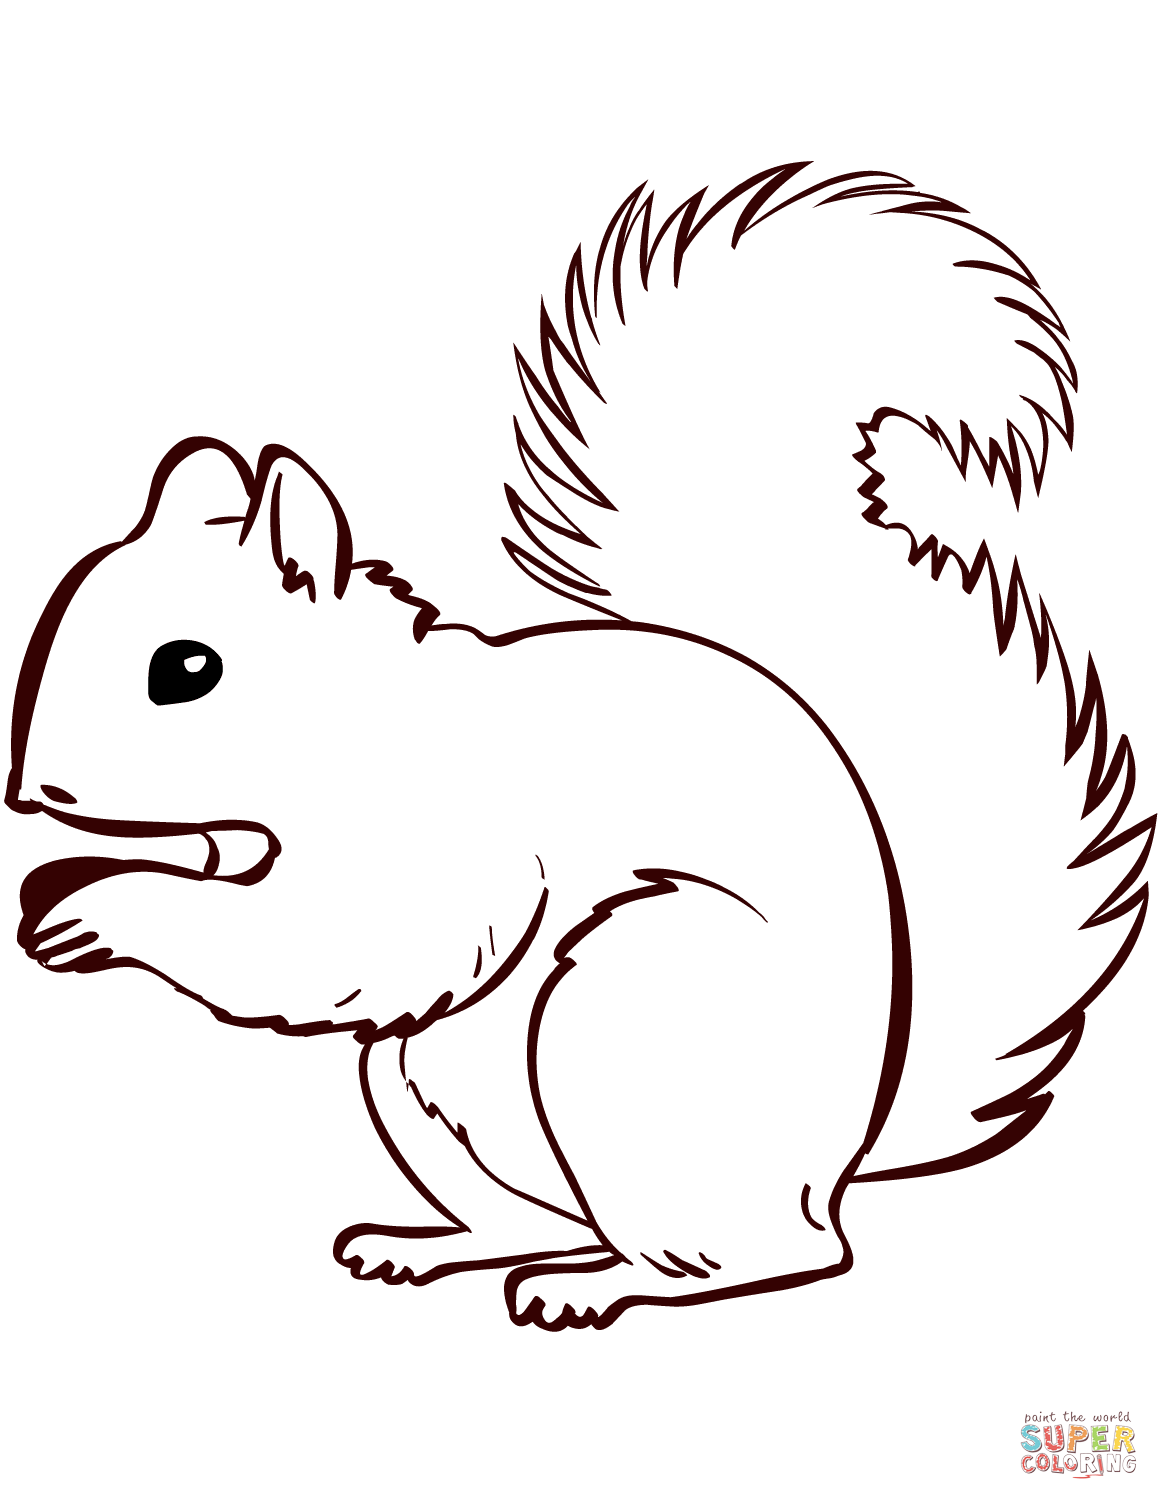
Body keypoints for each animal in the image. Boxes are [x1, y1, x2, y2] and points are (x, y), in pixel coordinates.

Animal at [7, 163, 1151, 1330]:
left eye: (187, 669)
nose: (31, 793)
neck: (362, 730)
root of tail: (838, 1159)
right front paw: (59, 887)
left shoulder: (446, 848)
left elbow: (338, 943)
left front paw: (100, 908)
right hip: (418, 1085)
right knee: (545, 1217)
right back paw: (435, 1247)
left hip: (631, 1012)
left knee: (773, 1256)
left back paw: (597, 1286)